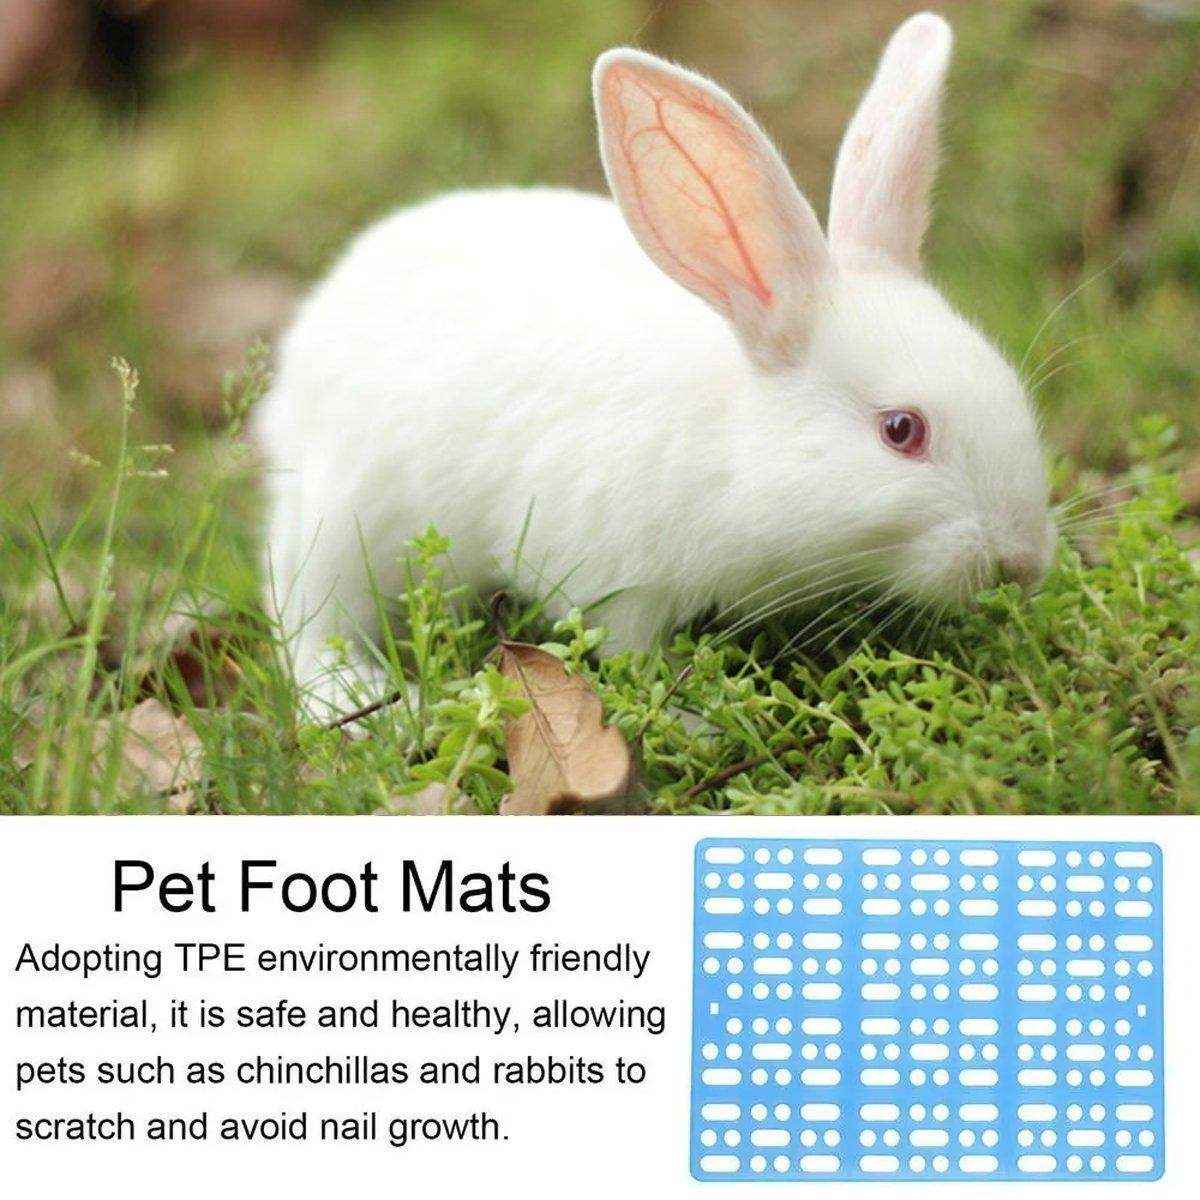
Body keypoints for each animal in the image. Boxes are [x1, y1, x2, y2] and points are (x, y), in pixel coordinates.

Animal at [257, 12, 1054, 721]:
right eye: (901, 430)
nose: (1022, 562)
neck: (736, 443)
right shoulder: (613, 581)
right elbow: (630, 655)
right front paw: (696, 718)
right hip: (346, 523)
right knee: (305, 620)